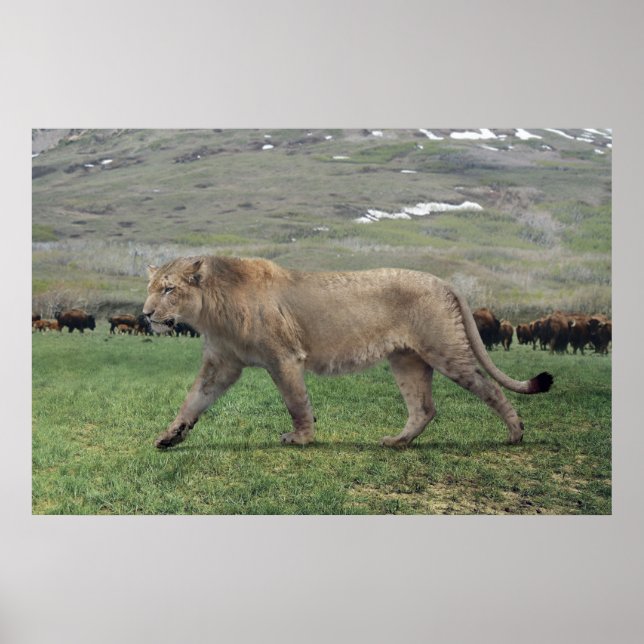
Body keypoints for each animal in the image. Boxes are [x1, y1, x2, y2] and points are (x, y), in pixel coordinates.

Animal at [143, 256, 553, 449]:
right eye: (150, 288)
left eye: (168, 289)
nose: (146, 314)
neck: (211, 310)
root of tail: (444, 282)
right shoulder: (222, 364)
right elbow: (194, 400)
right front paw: (170, 436)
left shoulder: (284, 357)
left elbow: (296, 401)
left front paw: (301, 438)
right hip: (407, 359)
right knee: (424, 407)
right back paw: (398, 442)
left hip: (446, 350)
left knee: (489, 387)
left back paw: (515, 433)